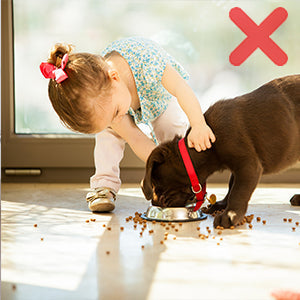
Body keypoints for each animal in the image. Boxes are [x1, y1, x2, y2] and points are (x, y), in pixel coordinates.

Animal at [142, 74, 300, 227]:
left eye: (156, 184)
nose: (155, 203)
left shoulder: (248, 165)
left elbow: (238, 191)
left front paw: (230, 215)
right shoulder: (238, 167)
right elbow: (231, 185)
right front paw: (222, 205)